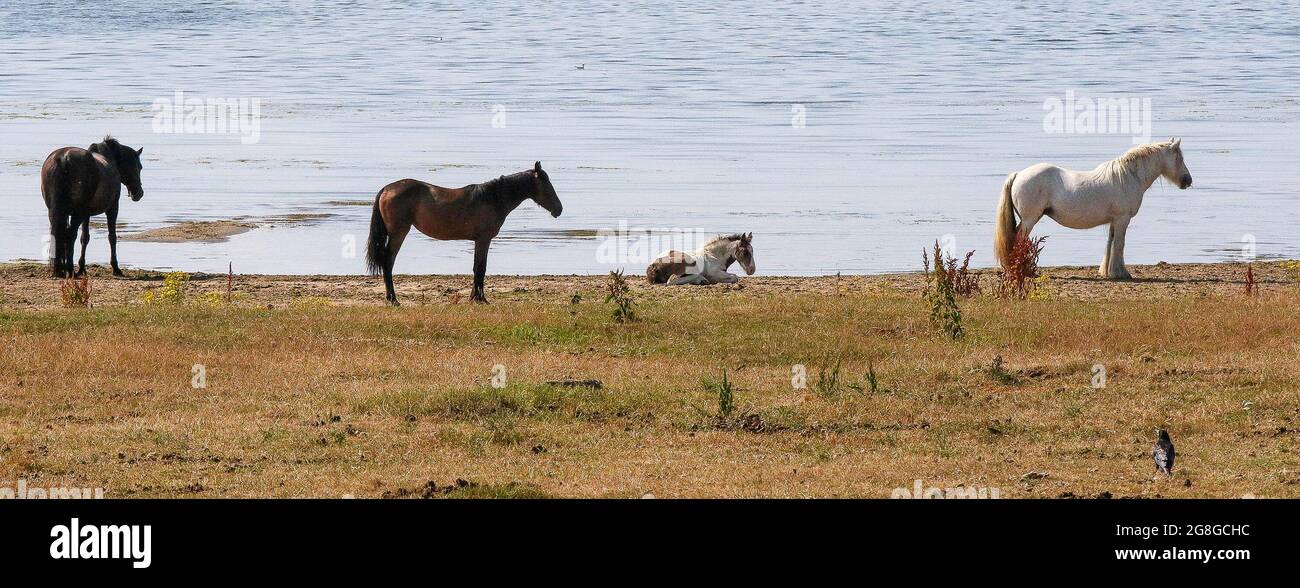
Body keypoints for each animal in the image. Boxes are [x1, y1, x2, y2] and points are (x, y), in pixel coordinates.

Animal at [40, 135, 146, 278]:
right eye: (139, 167)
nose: (139, 193)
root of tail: (63, 159)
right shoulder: (112, 208)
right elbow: (112, 237)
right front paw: (116, 268)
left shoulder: (86, 214)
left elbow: (84, 238)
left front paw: (82, 268)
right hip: (77, 213)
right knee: (70, 235)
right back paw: (70, 270)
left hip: (56, 212)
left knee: (60, 235)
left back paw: (61, 269)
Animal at [364, 163, 561, 305]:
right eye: (547, 186)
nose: (559, 209)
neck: (492, 198)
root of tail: (387, 189)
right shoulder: (483, 239)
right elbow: (481, 268)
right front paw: (480, 299)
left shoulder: (479, 241)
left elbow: (477, 267)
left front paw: (474, 297)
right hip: (398, 233)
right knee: (388, 262)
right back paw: (393, 299)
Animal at [993, 139, 1196, 279]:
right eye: (1179, 158)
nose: (1188, 180)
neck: (1128, 177)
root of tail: (1019, 174)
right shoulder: (1123, 219)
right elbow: (1120, 244)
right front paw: (1121, 273)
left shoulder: (1114, 221)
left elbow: (1110, 243)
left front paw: (1107, 272)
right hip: (1030, 219)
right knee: (1018, 239)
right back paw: (1023, 270)